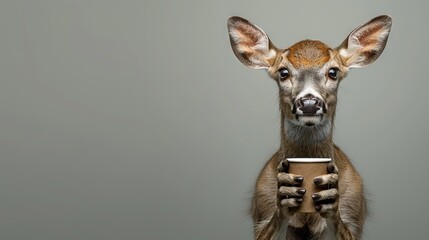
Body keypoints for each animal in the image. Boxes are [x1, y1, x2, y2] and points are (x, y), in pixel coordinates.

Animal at [227, 14, 392, 238]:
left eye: (333, 72)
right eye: (283, 72)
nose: (309, 103)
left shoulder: (355, 217)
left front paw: (331, 200)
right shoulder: (260, 213)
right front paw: (285, 195)